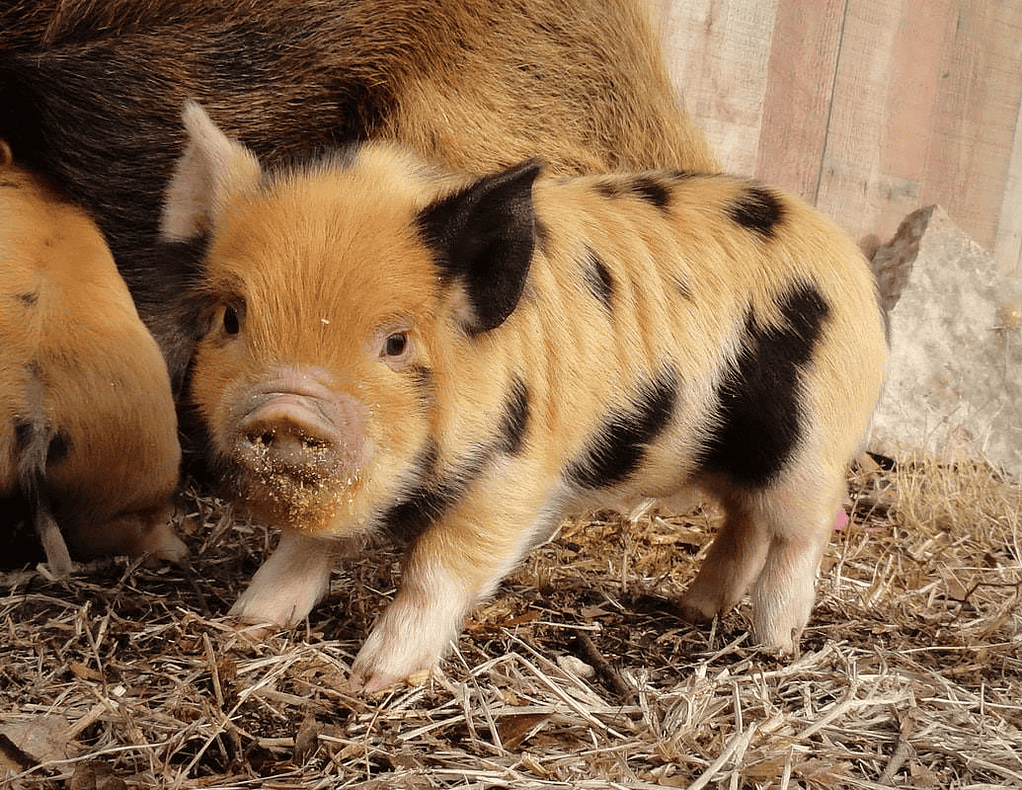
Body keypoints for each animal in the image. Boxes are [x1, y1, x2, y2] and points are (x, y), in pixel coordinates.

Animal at [161, 106, 887, 690]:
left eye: (396, 342)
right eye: (231, 319)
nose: (286, 408)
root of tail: (854, 267)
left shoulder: (517, 475)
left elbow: (436, 569)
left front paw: (374, 680)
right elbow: (305, 547)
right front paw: (246, 625)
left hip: (810, 441)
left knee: (800, 533)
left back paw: (773, 645)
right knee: (745, 523)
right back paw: (690, 608)